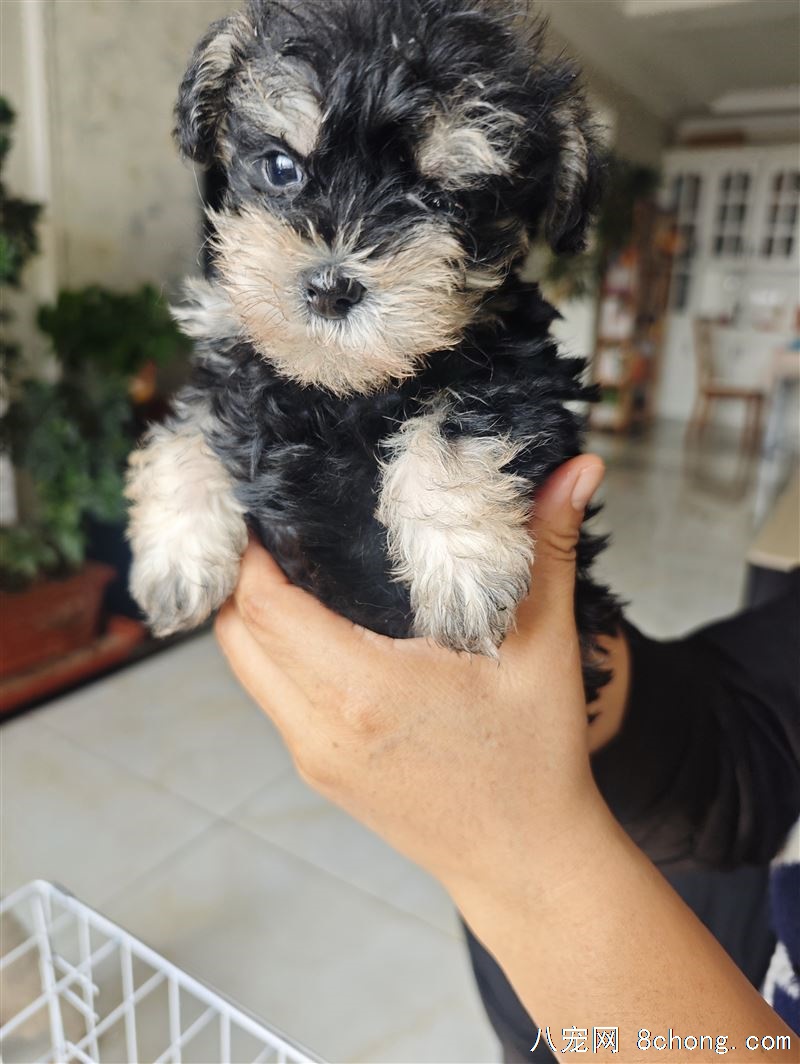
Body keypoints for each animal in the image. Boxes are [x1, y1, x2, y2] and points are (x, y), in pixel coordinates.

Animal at [126, 0, 621, 697]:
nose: (331, 288)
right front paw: (175, 558)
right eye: (281, 166)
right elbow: (187, 427)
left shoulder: (527, 371)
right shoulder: (232, 358)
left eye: (445, 200)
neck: (340, 388)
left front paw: (465, 574)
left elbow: (458, 422)